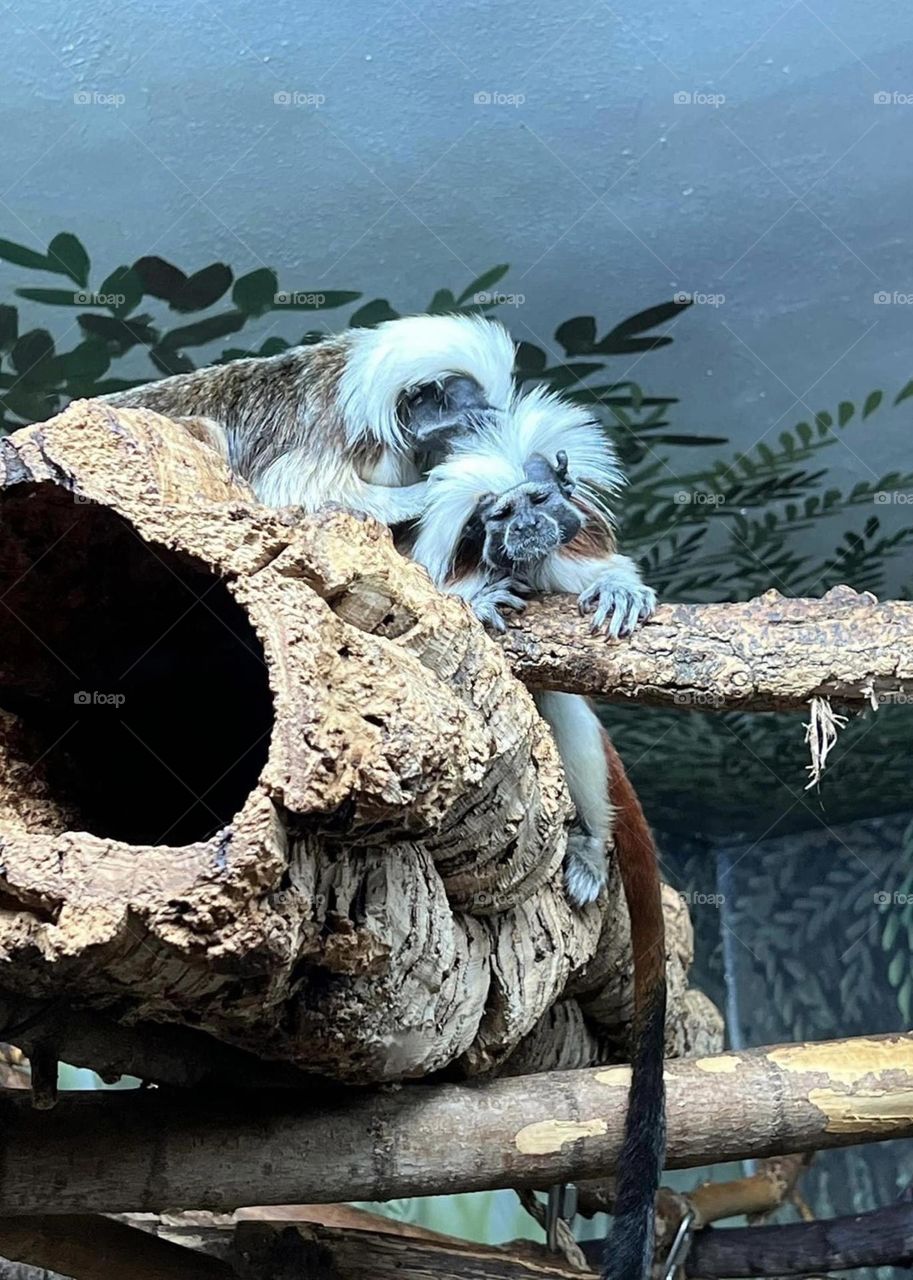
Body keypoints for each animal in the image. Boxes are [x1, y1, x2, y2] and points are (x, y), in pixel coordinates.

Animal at [406, 395, 665, 1280]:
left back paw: (586, 850)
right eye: (496, 515)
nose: (521, 528)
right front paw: (483, 603)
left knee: (567, 713)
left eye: (537, 499)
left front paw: (617, 588)